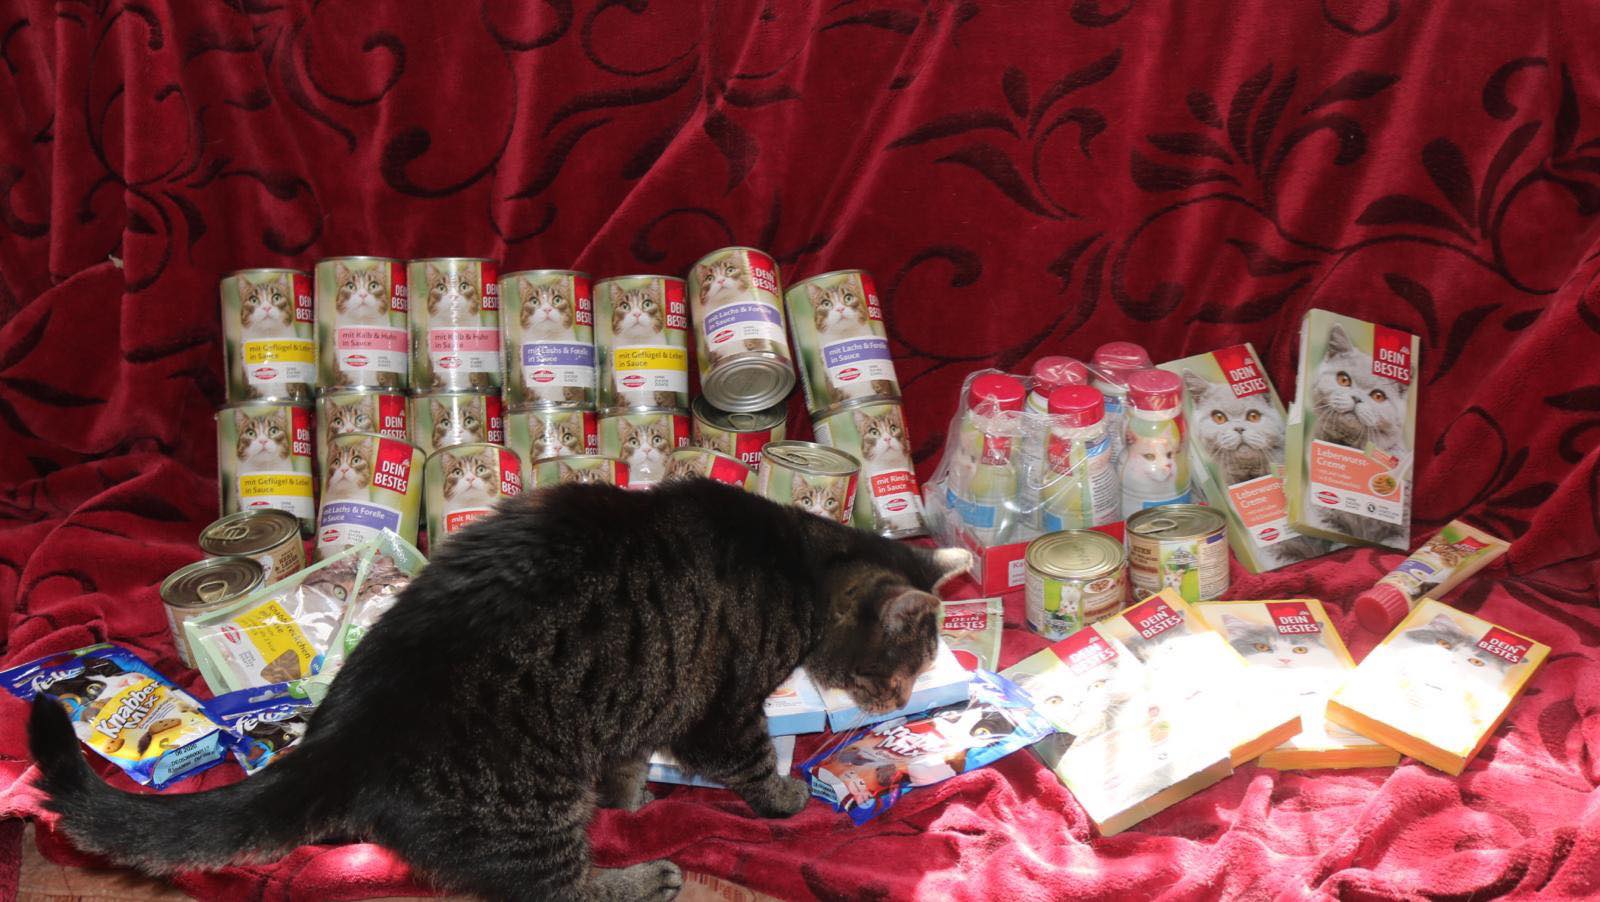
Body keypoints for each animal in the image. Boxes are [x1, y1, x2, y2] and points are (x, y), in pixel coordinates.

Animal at [29, 479, 973, 901]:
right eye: (901, 670)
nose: (896, 705)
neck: (796, 561)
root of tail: (339, 742)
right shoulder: (722, 712)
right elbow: (748, 764)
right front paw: (784, 798)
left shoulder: (648, 697)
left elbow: (629, 751)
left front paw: (628, 793)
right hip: (526, 815)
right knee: (551, 892)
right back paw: (645, 876)